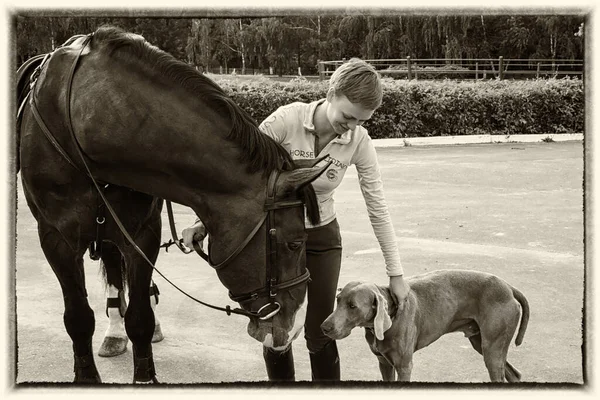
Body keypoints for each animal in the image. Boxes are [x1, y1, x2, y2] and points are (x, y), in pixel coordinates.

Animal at [17, 26, 328, 382]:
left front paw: (144, 373)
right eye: (294, 243)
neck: (87, 118)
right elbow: (78, 318)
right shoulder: (56, 239)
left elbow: (140, 315)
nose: (293, 326)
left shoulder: (142, 234)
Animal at [322, 268, 528, 382]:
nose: (324, 327)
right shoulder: (384, 363)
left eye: (352, 306)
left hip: (492, 347)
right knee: (513, 374)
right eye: (338, 300)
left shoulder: (404, 365)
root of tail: (509, 287)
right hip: (481, 342)